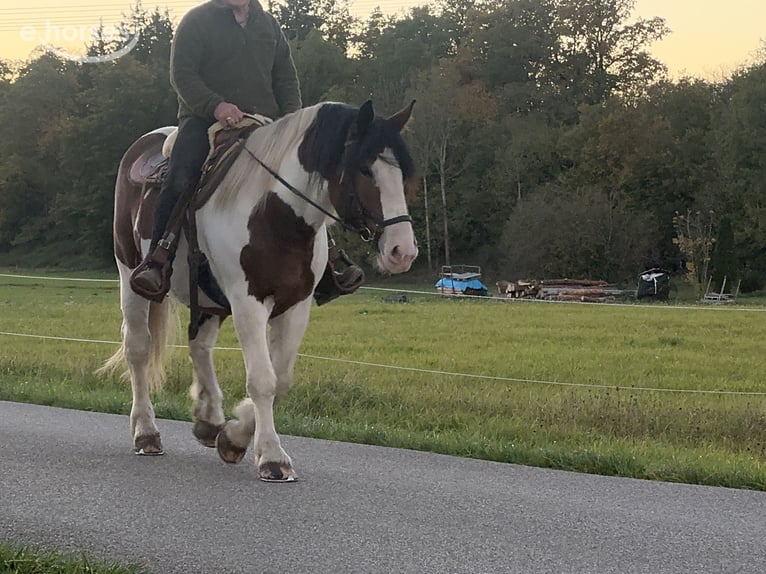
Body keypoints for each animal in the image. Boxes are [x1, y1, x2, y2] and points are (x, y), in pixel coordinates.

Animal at [100, 100, 418, 481]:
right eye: (365, 170)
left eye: (402, 174)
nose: (403, 251)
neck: (276, 213)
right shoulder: (247, 303)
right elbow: (263, 380)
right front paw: (271, 456)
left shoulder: (296, 306)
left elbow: (280, 380)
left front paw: (233, 437)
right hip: (130, 275)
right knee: (138, 348)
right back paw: (146, 432)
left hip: (207, 297)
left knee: (199, 344)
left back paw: (209, 420)